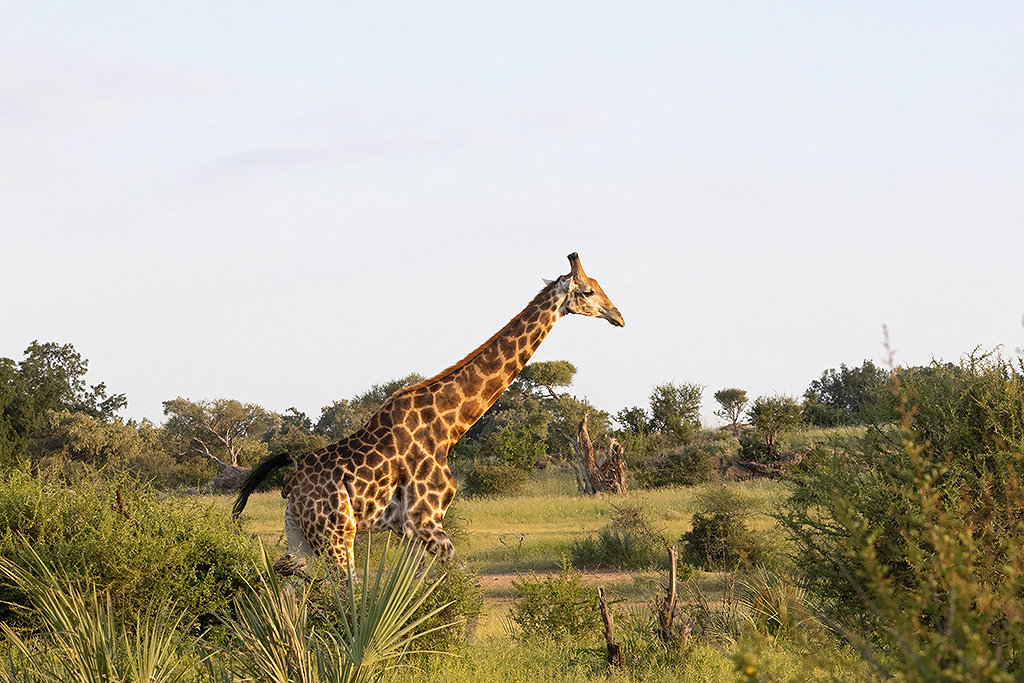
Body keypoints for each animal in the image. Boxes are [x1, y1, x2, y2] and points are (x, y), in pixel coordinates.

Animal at [233, 252, 624, 573]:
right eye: (588, 291)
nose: (619, 316)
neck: (448, 425)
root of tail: (292, 481)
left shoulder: (411, 530)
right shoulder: (424, 521)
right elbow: (463, 585)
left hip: (301, 538)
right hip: (337, 537)